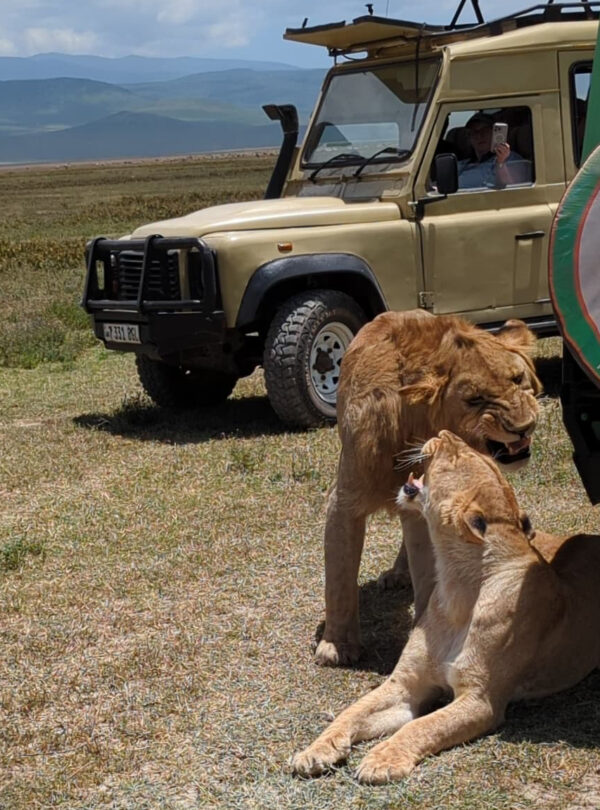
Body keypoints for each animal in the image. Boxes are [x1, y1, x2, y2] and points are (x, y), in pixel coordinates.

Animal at [293, 430, 600, 783]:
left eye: (457, 456)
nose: (443, 433)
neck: (457, 588)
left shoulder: (480, 699)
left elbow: (423, 726)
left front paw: (382, 759)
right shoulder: (405, 684)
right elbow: (353, 711)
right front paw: (315, 750)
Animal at [315, 309, 541, 667]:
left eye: (518, 379)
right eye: (475, 399)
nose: (524, 427)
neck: (413, 427)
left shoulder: (430, 506)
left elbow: (429, 570)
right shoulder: (344, 500)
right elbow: (338, 576)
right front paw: (336, 645)